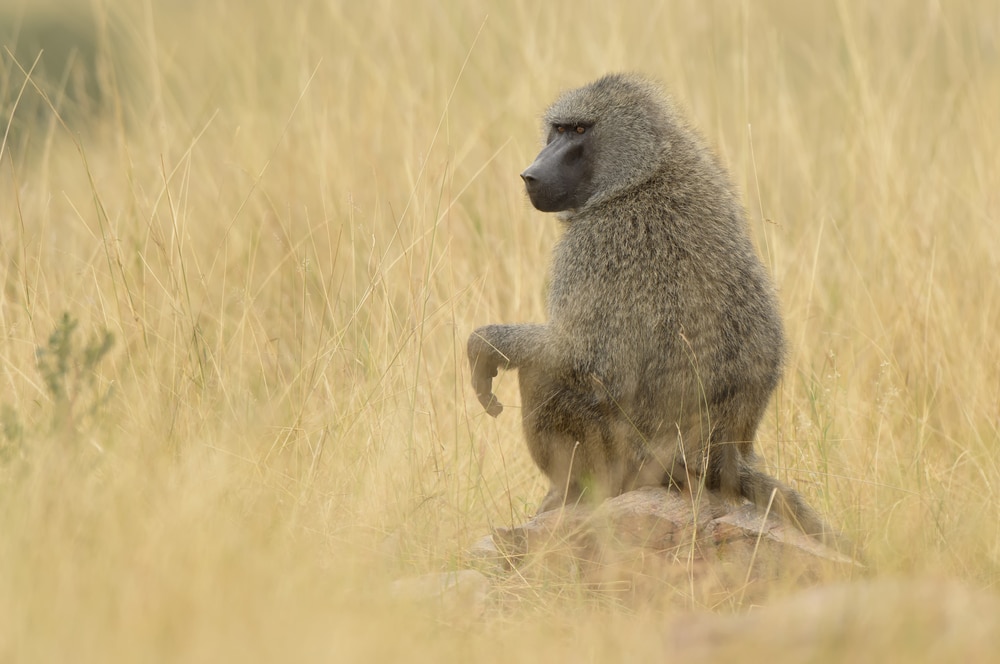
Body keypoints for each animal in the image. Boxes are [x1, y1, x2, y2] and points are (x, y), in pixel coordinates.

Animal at [468, 73, 848, 553]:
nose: (531, 174)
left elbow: (588, 359)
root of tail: (719, 457)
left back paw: (568, 494)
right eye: (558, 129)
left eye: (580, 130)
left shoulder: (598, 241)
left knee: (543, 372)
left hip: (631, 459)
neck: (645, 171)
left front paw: (486, 344)